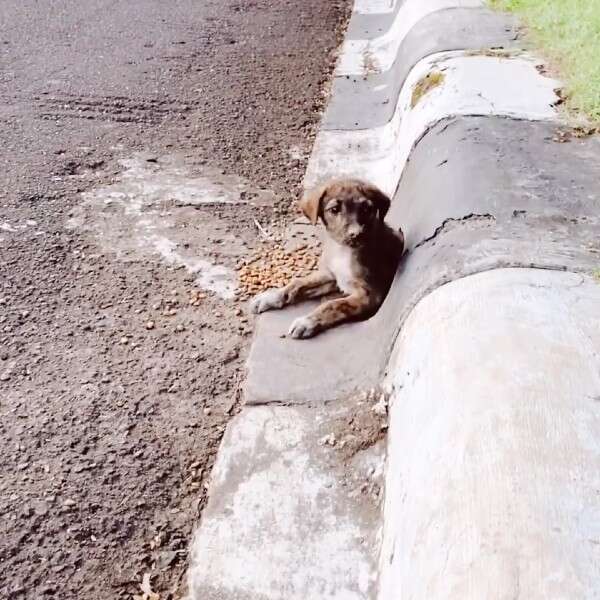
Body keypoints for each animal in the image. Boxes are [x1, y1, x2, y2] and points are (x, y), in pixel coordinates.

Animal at [248, 177, 404, 338]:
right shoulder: (331, 275)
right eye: (334, 210)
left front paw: (307, 322)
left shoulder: (370, 295)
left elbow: (334, 304)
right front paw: (271, 297)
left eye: (366, 209)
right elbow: (298, 283)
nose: (356, 234)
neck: (343, 251)